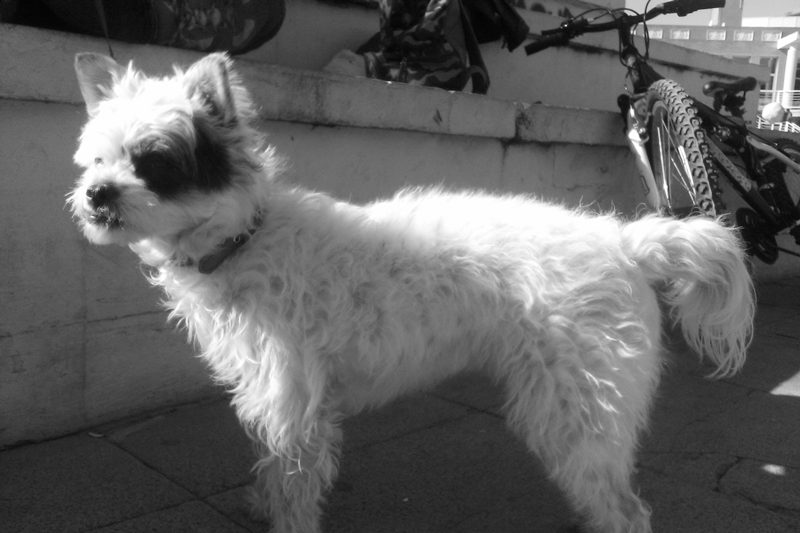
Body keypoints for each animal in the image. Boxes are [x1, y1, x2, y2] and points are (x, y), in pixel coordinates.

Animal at [69, 52, 754, 533]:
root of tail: (624, 240)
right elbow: (271, 465)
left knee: (627, 510)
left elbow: (294, 480)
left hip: (575, 408)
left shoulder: (296, 403)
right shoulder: (270, 394)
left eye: (154, 161)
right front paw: (261, 502)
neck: (245, 238)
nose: (97, 195)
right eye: (95, 161)